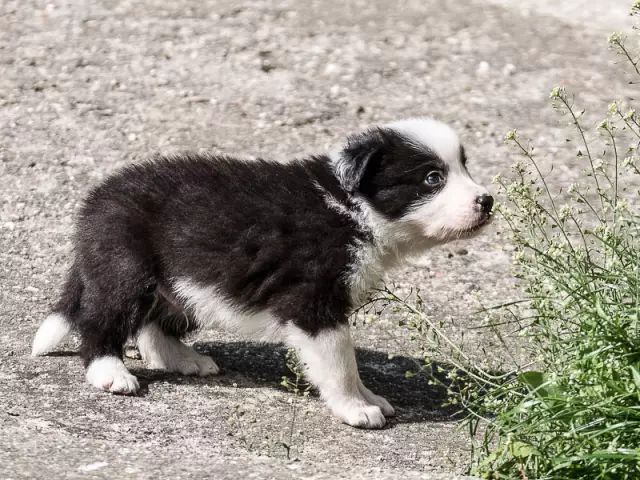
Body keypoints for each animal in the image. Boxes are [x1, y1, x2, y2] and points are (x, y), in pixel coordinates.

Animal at [31, 118, 496, 430]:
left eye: (465, 168)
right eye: (432, 178)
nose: (487, 201)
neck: (351, 207)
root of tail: (96, 201)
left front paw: (370, 398)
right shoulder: (312, 301)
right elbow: (340, 361)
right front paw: (356, 407)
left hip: (184, 281)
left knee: (151, 325)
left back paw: (184, 359)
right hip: (124, 266)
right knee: (101, 321)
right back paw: (110, 373)